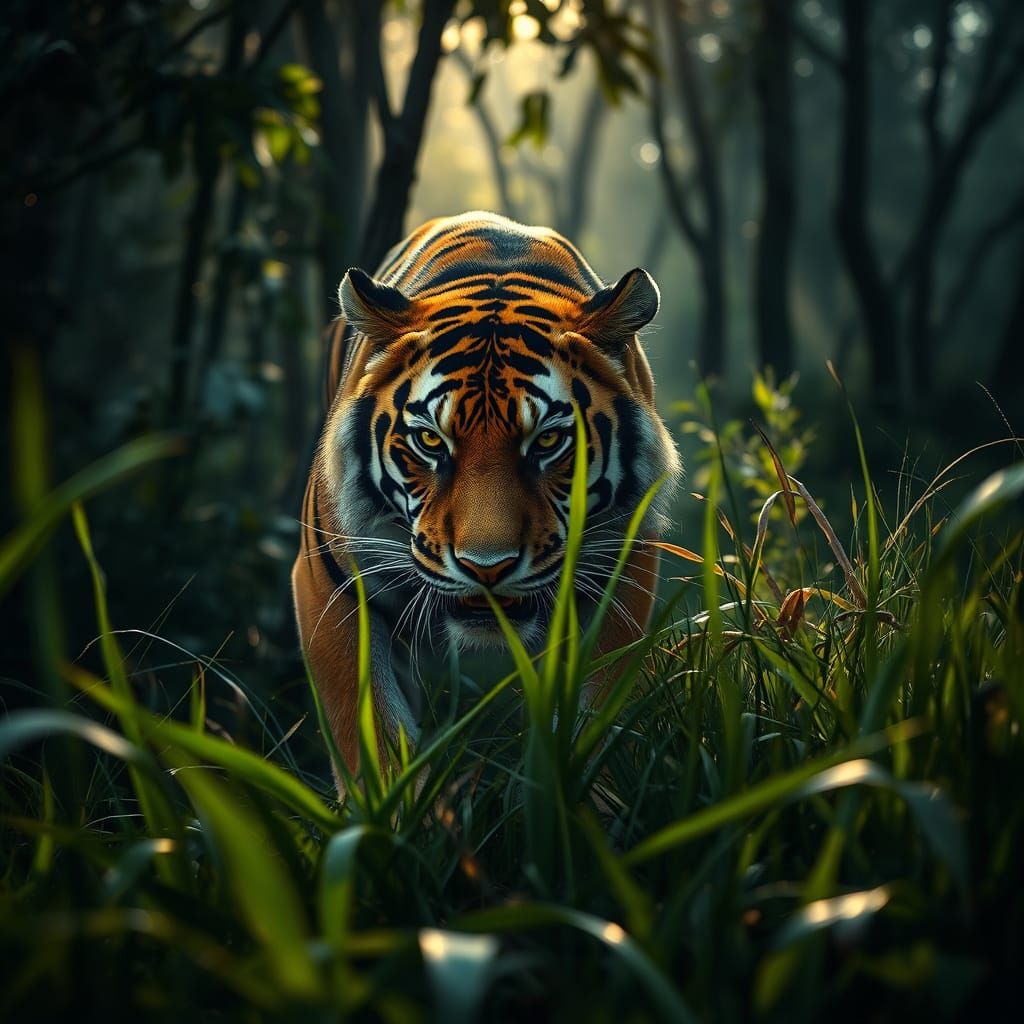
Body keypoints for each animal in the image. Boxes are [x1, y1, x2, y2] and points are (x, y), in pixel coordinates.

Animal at [292, 211, 681, 779]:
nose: (486, 568)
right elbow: (374, 742)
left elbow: (594, 723)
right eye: (431, 441)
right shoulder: (332, 589)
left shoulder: (622, 579)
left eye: (547, 442)